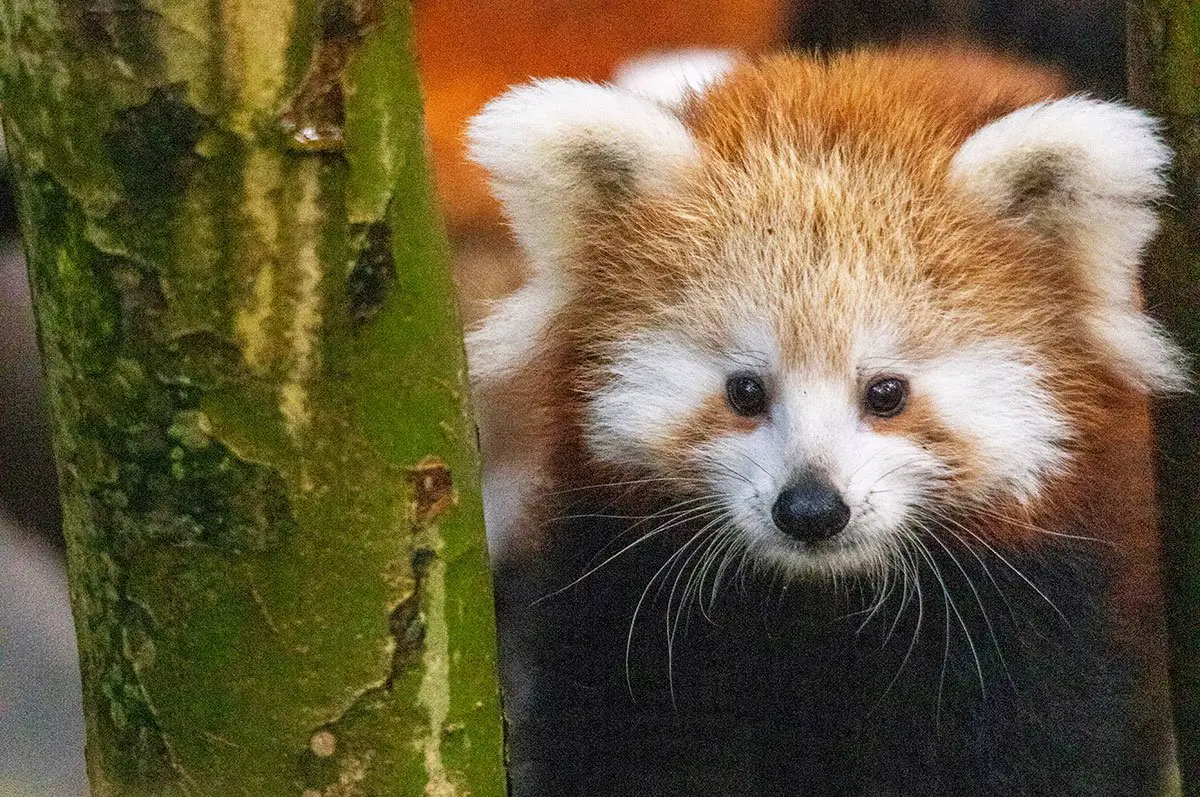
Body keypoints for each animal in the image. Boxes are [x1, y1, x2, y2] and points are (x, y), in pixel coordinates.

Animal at [463, 46, 1185, 792]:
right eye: (745, 391)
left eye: (886, 392)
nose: (810, 509)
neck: (814, 614)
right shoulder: (623, 605)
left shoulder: (1038, 618)